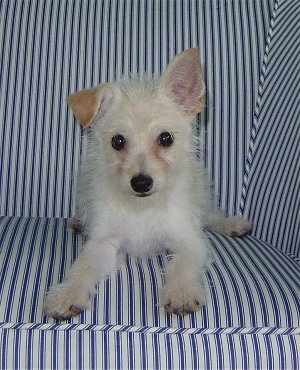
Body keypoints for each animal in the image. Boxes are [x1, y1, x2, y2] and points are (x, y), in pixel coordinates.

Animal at [44, 47, 251, 320]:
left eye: (165, 138)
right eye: (118, 141)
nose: (141, 182)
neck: (141, 208)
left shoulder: (188, 239)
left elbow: (183, 265)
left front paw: (181, 291)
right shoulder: (102, 243)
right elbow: (82, 266)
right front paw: (68, 293)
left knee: (209, 216)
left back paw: (231, 224)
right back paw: (79, 221)